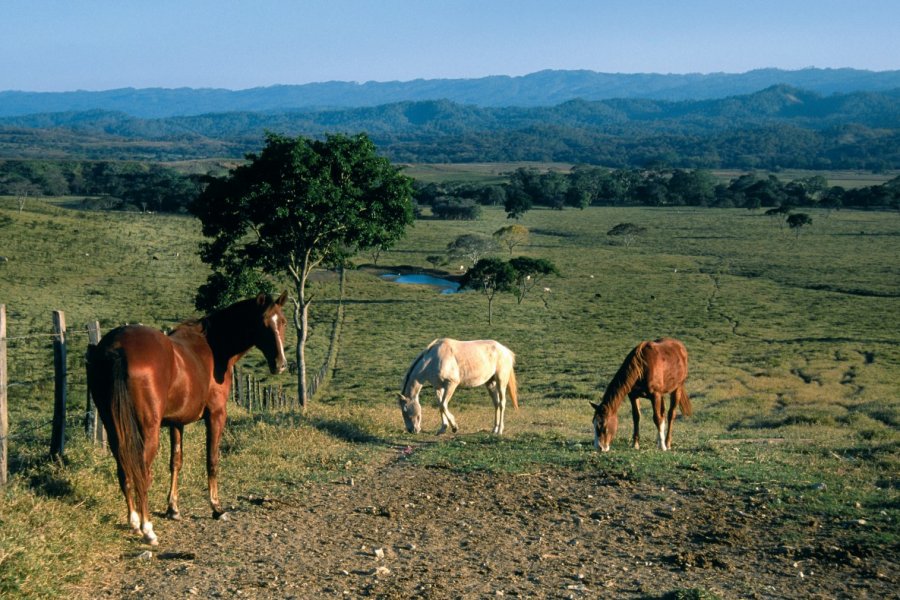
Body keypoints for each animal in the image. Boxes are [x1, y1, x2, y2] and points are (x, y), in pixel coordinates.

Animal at [86, 292, 286, 548]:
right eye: (263, 323)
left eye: (282, 322)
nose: (280, 364)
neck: (213, 347)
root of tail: (117, 346)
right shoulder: (216, 415)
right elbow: (212, 460)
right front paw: (216, 508)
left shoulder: (176, 422)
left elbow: (176, 462)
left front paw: (173, 509)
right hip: (147, 431)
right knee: (142, 472)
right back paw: (147, 529)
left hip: (115, 429)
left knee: (125, 470)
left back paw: (133, 522)